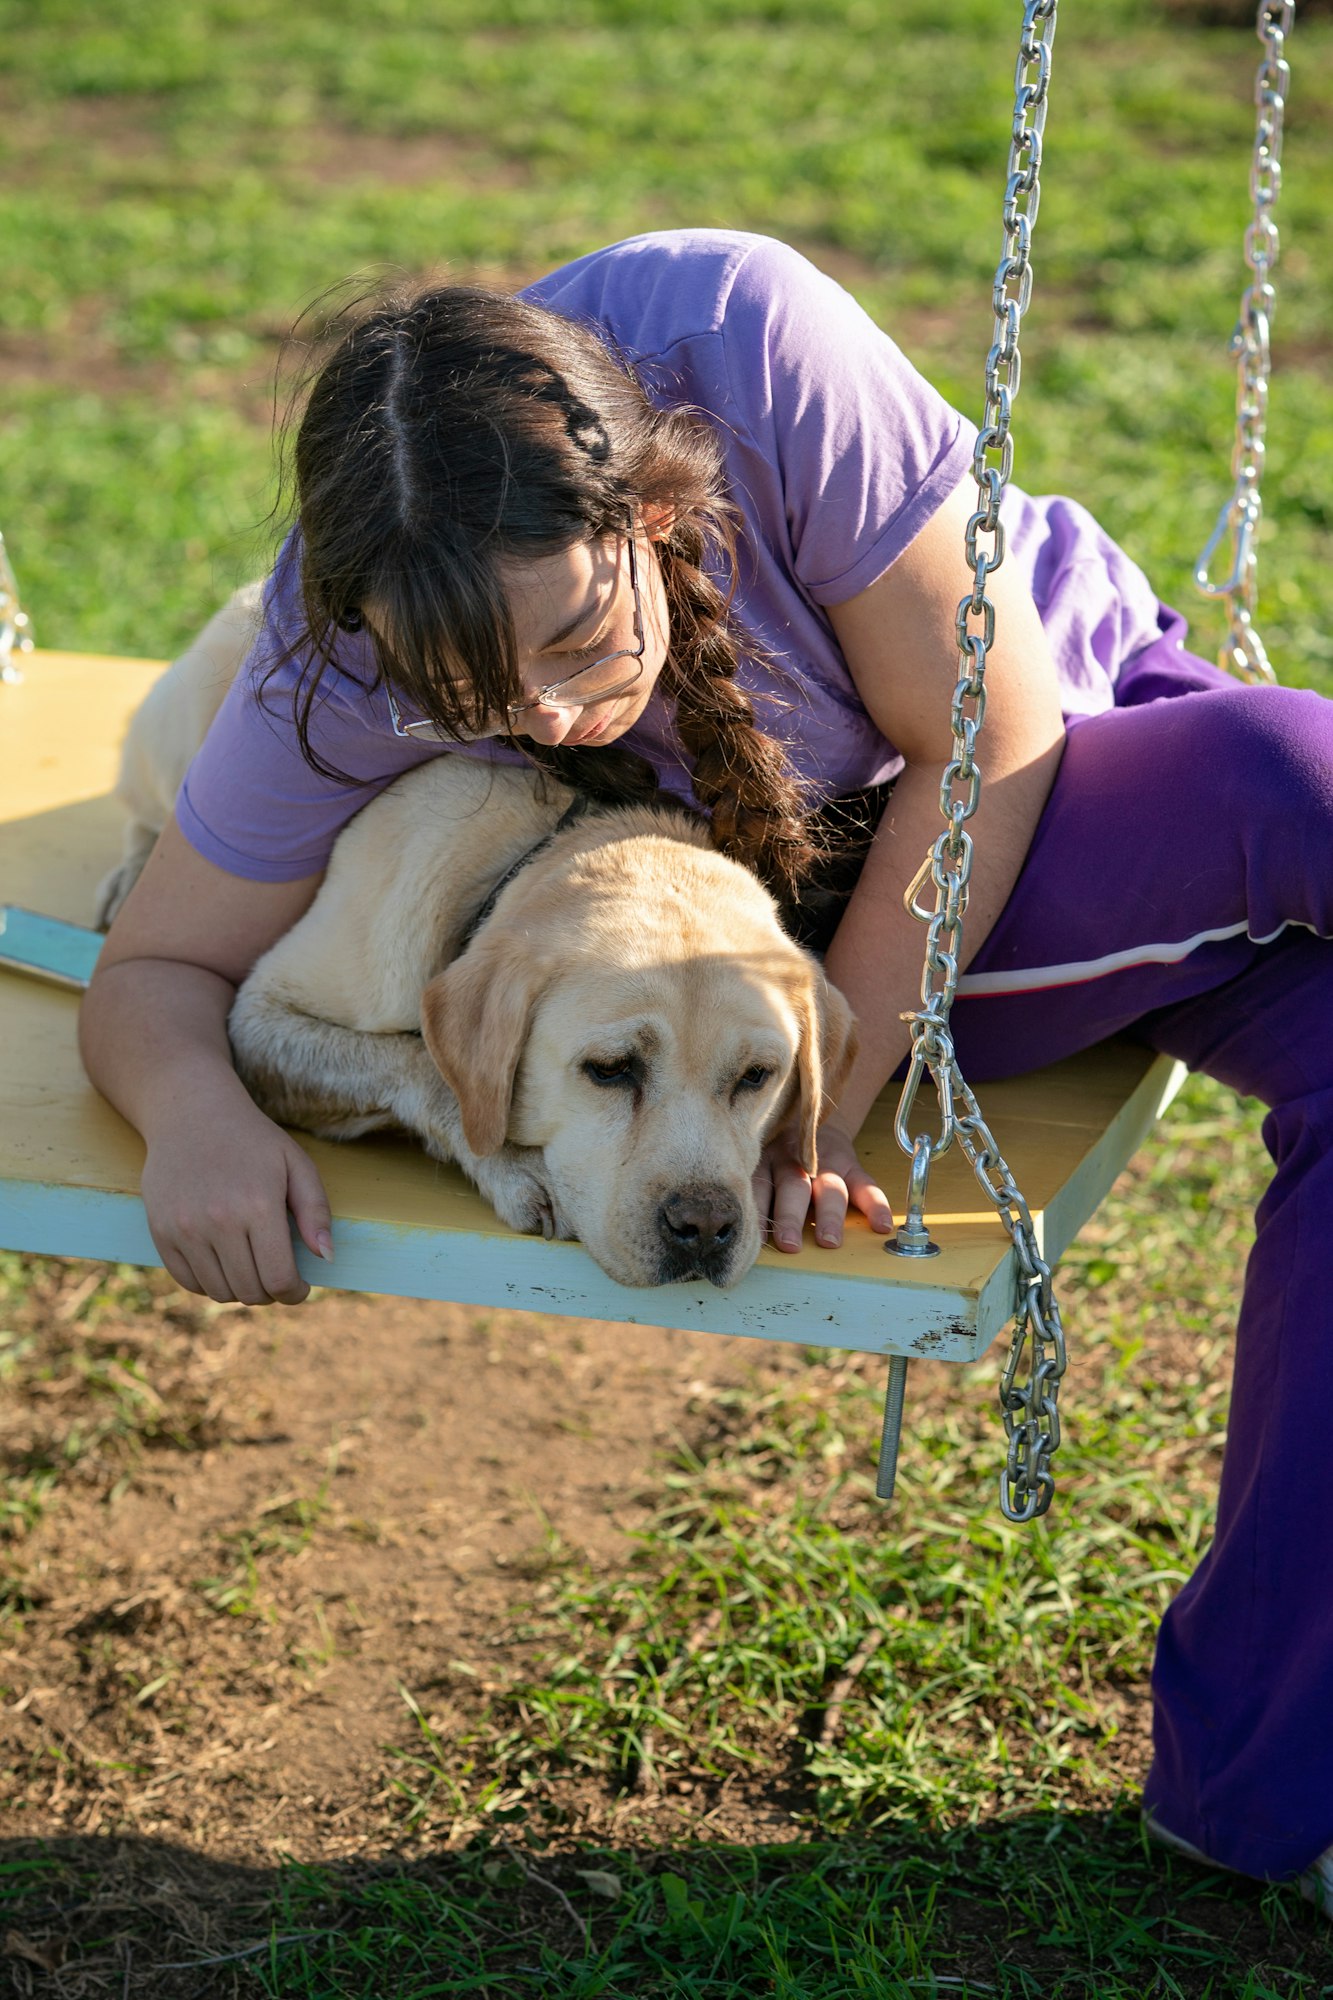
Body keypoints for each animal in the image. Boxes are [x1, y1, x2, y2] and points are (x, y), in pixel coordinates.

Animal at [101, 592, 852, 1288]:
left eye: (757, 1077)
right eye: (610, 1070)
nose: (703, 1226)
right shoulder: (258, 1018)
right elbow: (421, 1064)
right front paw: (514, 1163)